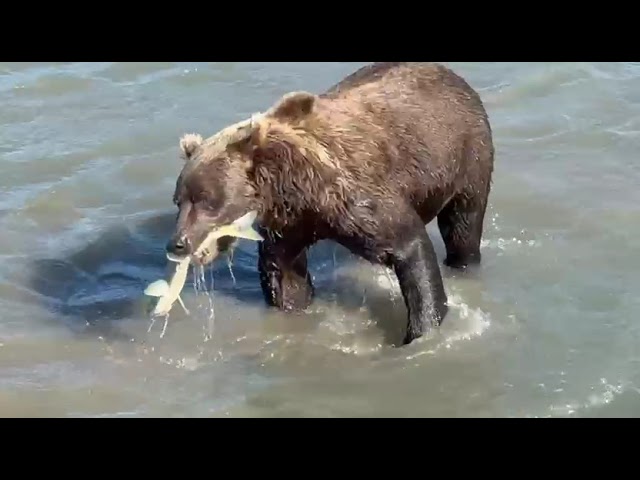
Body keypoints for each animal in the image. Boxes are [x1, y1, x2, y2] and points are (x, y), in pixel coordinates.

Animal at [166, 62, 495, 346]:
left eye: (208, 200)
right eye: (179, 201)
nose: (177, 244)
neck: (297, 188)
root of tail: (450, 74)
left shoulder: (357, 198)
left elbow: (409, 247)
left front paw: (421, 333)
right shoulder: (289, 224)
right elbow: (285, 274)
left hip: (468, 159)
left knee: (462, 227)